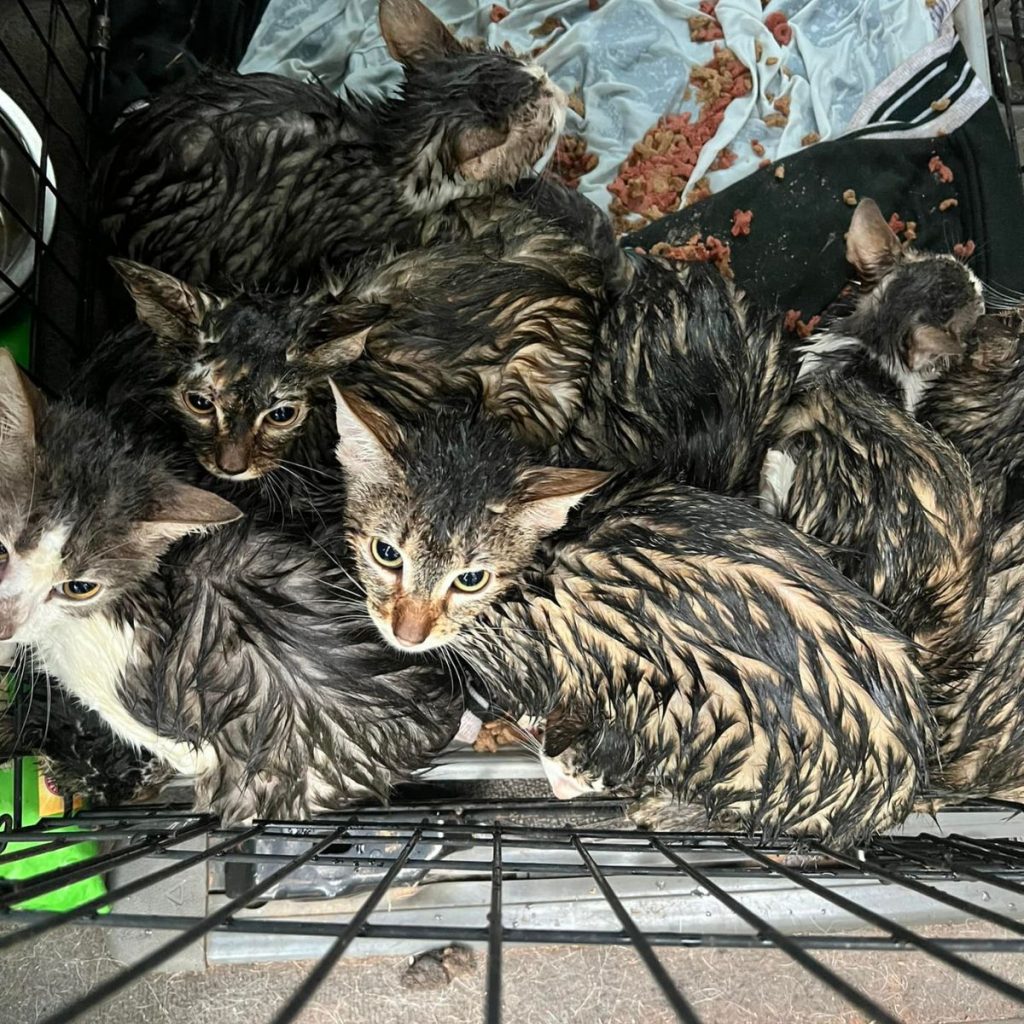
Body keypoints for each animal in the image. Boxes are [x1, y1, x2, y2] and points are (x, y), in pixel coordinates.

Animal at [329, 387, 937, 843]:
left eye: (470, 578)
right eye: (387, 553)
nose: (407, 633)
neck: (526, 578)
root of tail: (900, 785)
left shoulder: (536, 660)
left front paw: (507, 727)